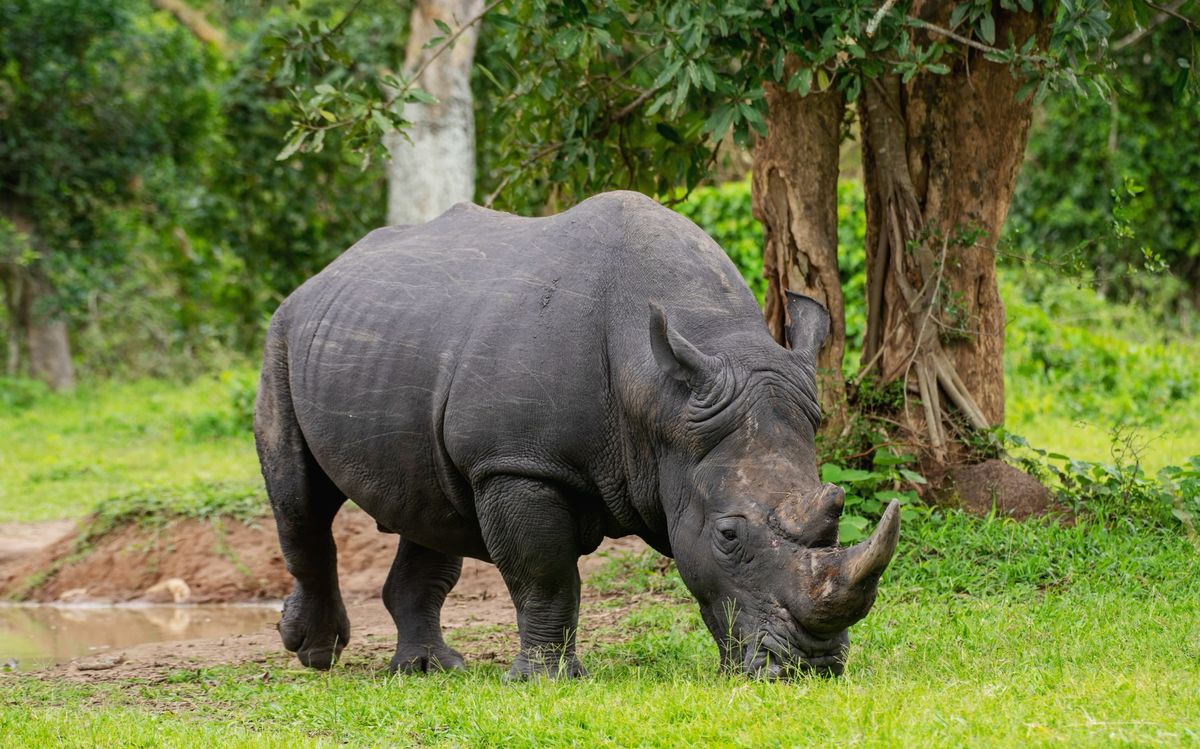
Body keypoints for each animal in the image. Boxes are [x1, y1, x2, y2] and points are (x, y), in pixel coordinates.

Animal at [254, 190, 899, 680]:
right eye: (728, 535)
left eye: (837, 510)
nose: (812, 667)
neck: (662, 399)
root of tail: (323, 274)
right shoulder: (516, 461)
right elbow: (545, 574)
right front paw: (545, 681)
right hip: (282, 334)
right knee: (301, 502)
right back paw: (315, 654)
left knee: (428, 508)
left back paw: (428, 670)